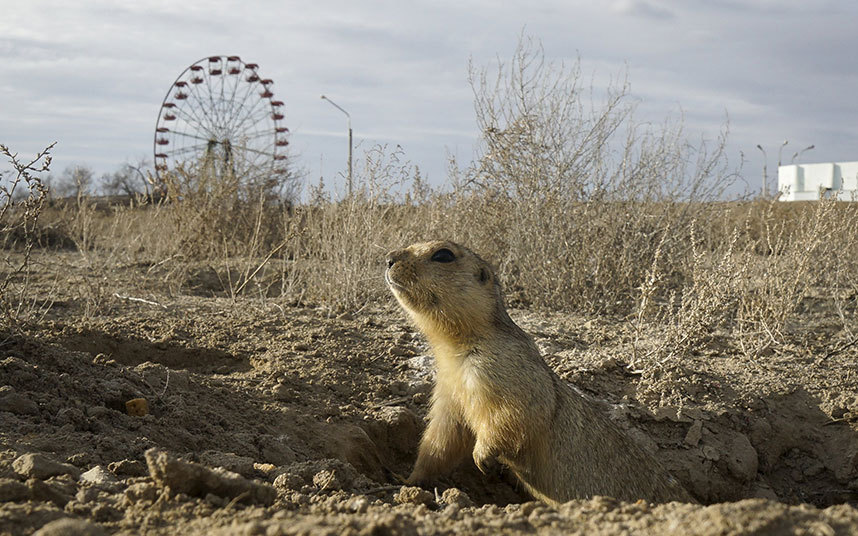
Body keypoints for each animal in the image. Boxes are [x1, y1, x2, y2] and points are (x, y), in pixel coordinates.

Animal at [384, 241, 692, 504]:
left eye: (444, 254)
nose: (388, 258)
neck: (454, 349)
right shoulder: (448, 390)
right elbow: (440, 438)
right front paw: (405, 478)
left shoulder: (504, 366)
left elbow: (515, 412)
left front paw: (483, 457)